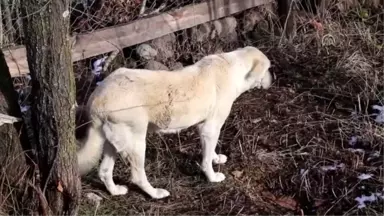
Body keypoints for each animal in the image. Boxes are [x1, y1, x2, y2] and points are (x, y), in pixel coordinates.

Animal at [76, 45, 272, 199]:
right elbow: (206, 160)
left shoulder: (206, 127)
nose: (273, 79)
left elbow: (211, 151)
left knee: (104, 171)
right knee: (137, 176)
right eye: (268, 69)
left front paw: (216, 158)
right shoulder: (210, 128)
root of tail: (97, 99)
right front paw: (212, 177)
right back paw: (156, 194)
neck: (233, 68)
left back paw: (116, 191)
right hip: (136, 143)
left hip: (113, 142)